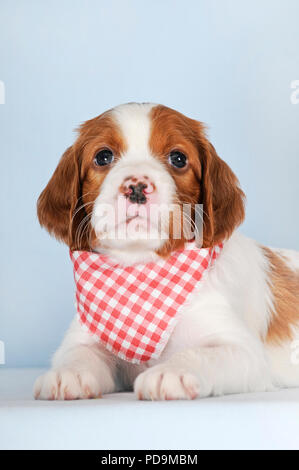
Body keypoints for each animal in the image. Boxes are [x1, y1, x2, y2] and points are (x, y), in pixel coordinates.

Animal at [33, 103, 299, 400]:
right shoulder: (87, 336)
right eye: (103, 156)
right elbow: (78, 352)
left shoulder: (243, 350)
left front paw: (171, 372)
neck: (142, 267)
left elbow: (200, 354)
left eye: (178, 158)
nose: (137, 187)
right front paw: (67, 373)